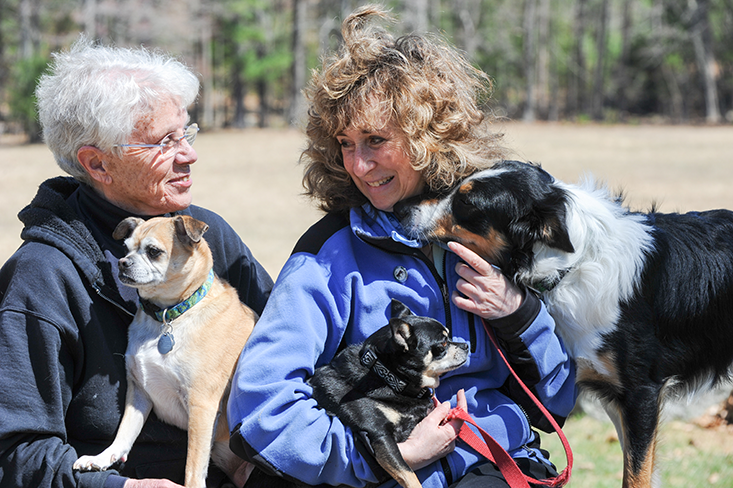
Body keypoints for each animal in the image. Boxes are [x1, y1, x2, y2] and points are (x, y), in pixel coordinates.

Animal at [74, 216, 258, 488]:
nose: (122, 262)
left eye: (153, 252)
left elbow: (193, 466)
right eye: (125, 248)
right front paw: (103, 457)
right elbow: (125, 433)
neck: (167, 316)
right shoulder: (139, 394)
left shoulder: (201, 407)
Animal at [398, 160, 733, 488]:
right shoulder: (614, 394)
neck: (573, 264)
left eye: (466, 202)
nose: (401, 209)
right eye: (454, 185)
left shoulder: (642, 392)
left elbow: (636, 476)